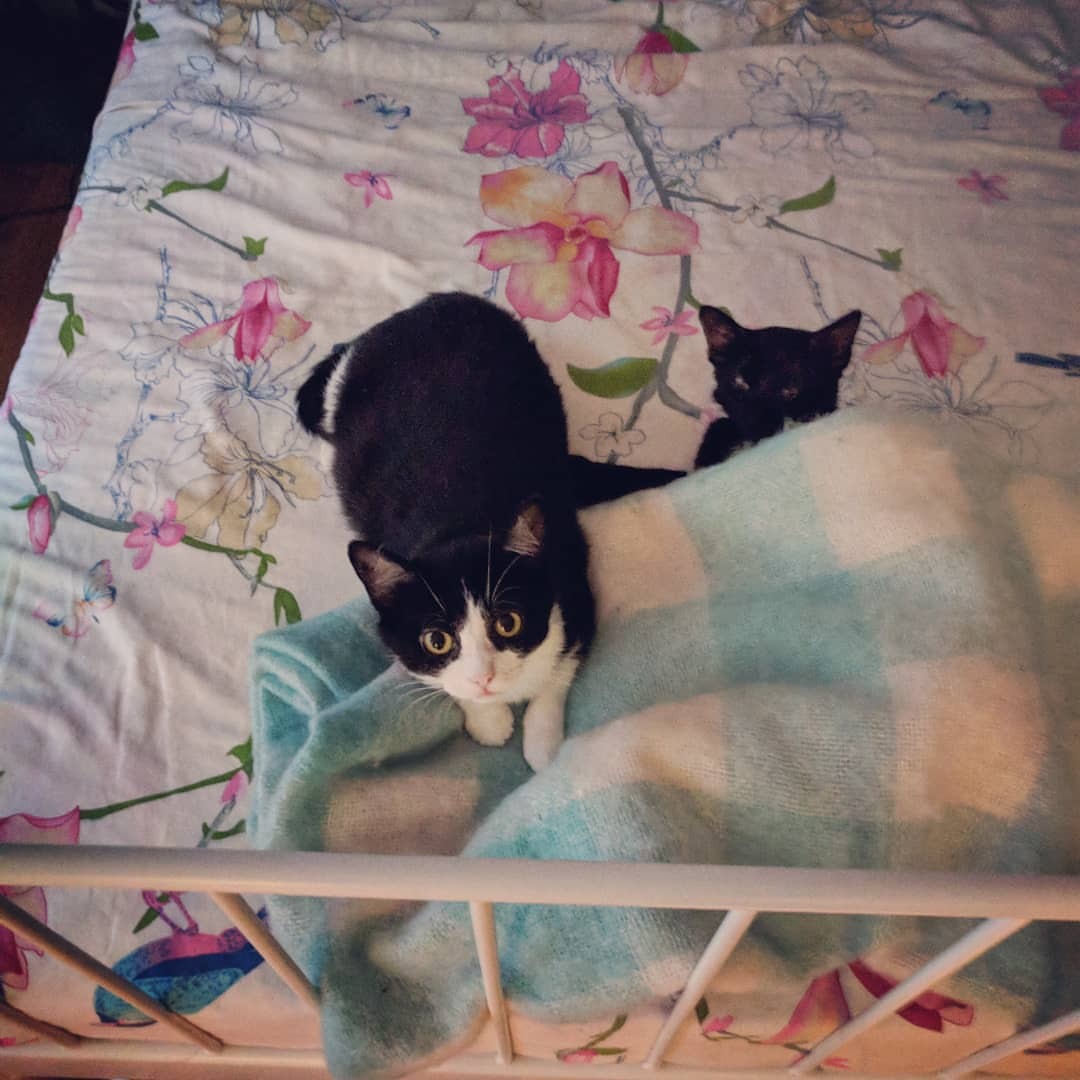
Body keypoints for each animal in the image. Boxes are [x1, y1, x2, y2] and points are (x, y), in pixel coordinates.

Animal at [296, 293, 595, 771]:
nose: (484, 678)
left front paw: (542, 742)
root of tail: (429, 304)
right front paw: (489, 721)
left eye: (508, 622)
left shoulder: (572, 569)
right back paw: (329, 458)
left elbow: (560, 669)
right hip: (352, 386)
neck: (461, 521)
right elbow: (442, 681)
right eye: (438, 641)